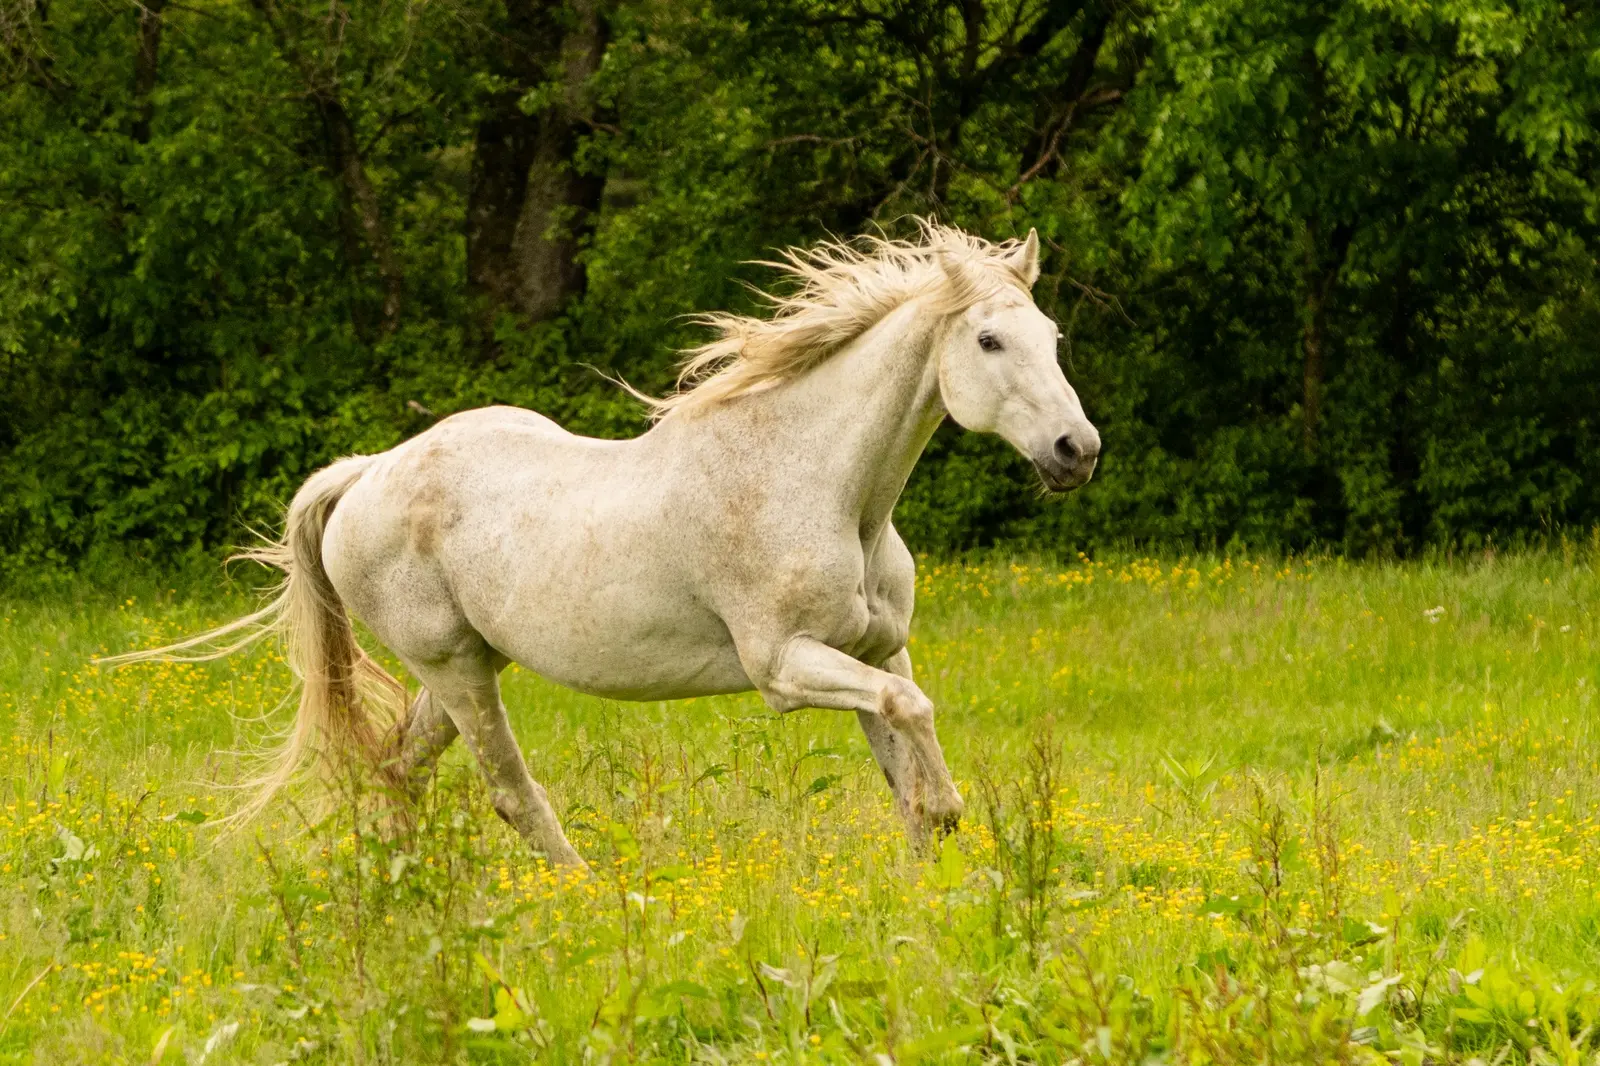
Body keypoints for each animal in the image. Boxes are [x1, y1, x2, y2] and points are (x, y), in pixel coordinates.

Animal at [104, 221, 1100, 869]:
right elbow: (914, 720)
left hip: (463, 670)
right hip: (456, 671)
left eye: (1052, 335)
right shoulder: (784, 666)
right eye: (988, 338)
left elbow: (907, 756)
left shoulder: (877, 649)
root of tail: (367, 472)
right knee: (509, 793)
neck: (823, 487)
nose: (1076, 451)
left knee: (397, 772)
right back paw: (588, 901)